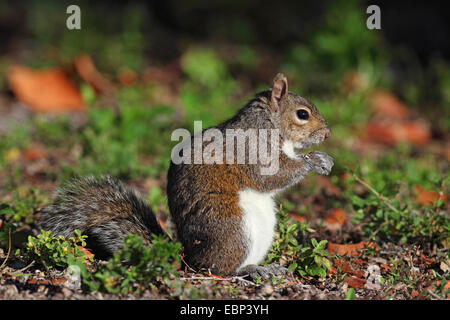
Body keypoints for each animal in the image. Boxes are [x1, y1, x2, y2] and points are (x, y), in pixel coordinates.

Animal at [39, 74, 334, 278]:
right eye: (302, 114)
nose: (328, 135)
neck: (269, 124)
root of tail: (187, 258)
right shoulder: (254, 149)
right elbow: (272, 177)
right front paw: (315, 160)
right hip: (233, 227)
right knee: (219, 268)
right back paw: (249, 271)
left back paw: (266, 267)